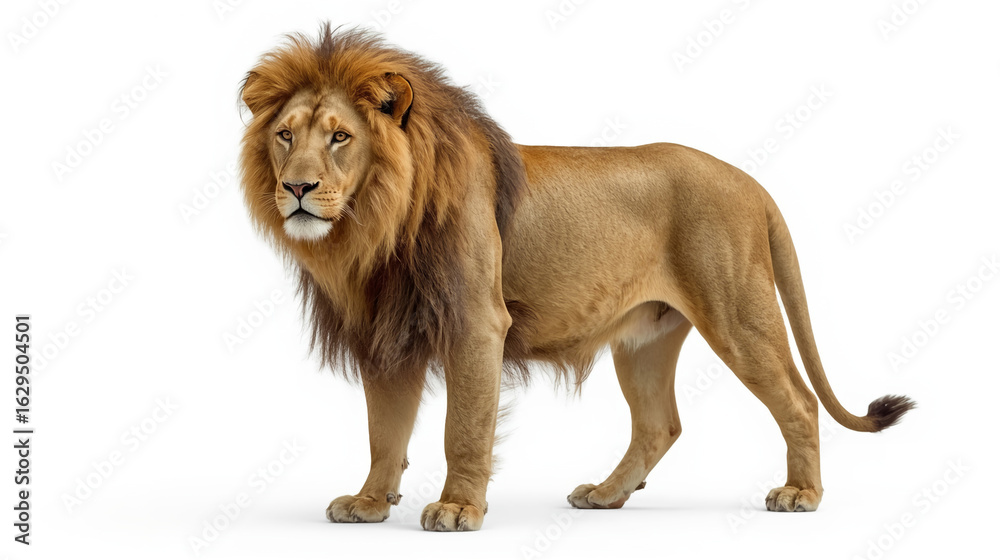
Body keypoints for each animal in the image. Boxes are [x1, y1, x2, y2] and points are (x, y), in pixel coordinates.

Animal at [238, 24, 914, 532]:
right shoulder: (387, 334)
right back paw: (608, 495)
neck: (376, 227)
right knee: (659, 424)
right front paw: (370, 503)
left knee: (798, 400)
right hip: (644, 338)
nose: (296, 188)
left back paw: (801, 495)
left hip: (737, 313)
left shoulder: (477, 324)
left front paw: (458, 508)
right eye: (285, 135)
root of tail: (749, 181)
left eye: (341, 137)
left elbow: (465, 427)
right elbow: (384, 431)